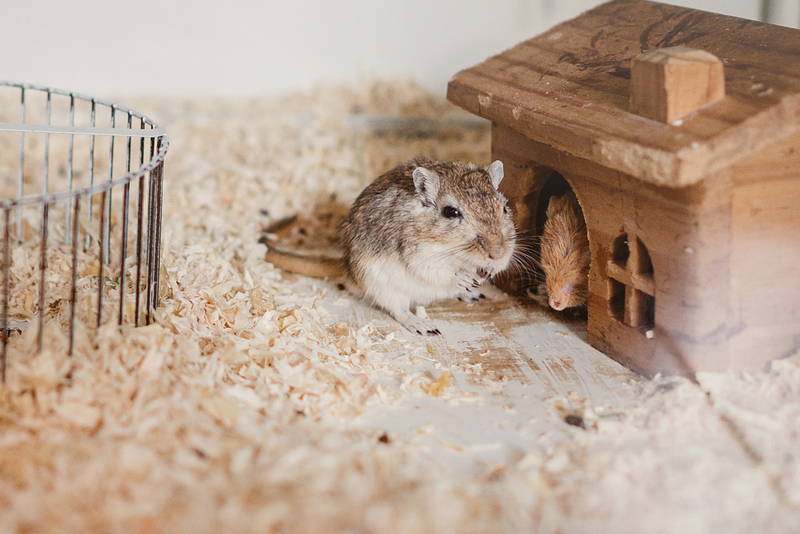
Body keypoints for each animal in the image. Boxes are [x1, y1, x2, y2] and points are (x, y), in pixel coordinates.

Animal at [340, 157, 516, 338]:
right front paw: (464, 277)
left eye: (504, 208)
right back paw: (425, 327)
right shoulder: (420, 259)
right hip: (382, 287)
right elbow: (442, 272)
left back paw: (474, 295)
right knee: (400, 311)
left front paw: (490, 271)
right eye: (451, 212)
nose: (497, 254)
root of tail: (351, 281)